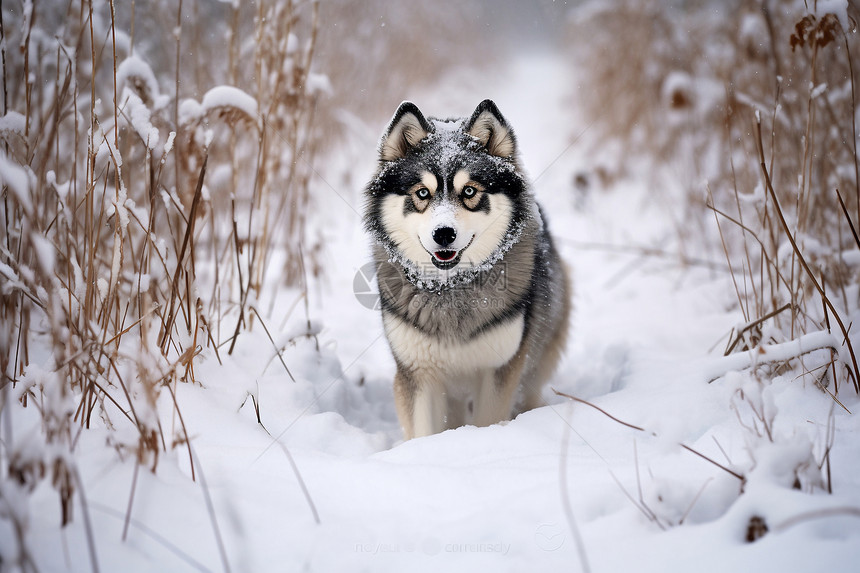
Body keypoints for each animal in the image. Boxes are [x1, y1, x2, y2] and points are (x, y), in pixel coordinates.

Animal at [362, 99, 572, 438]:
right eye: (422, 193)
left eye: (470, 191)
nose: (444, 233)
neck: (451, 289)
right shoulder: (418, 374)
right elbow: (423, 431)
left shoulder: (499, 370)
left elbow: (488, 419)